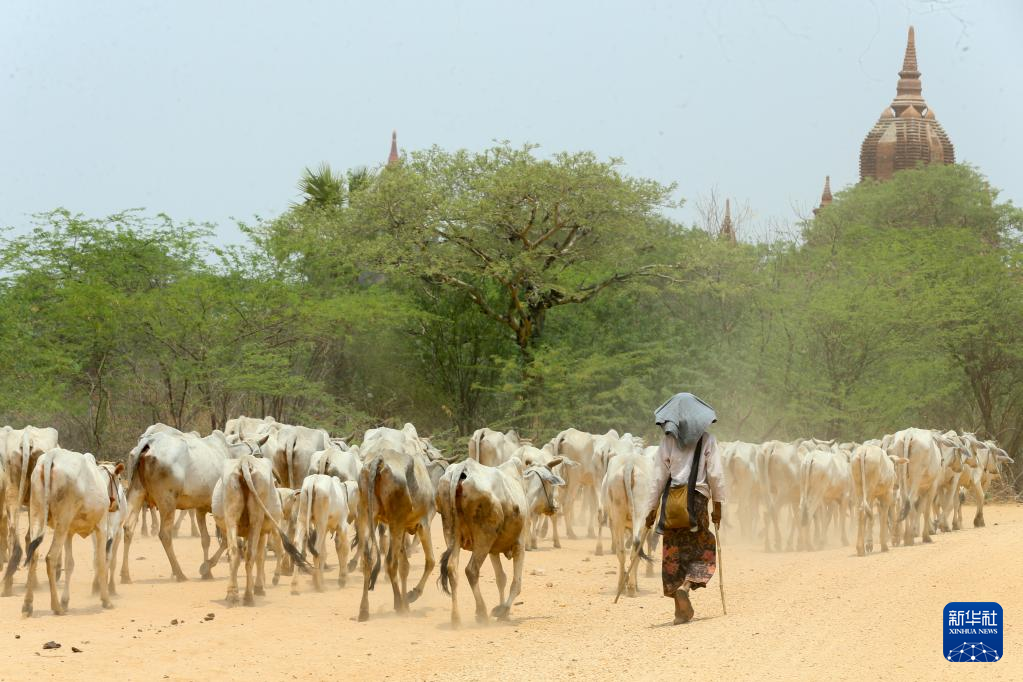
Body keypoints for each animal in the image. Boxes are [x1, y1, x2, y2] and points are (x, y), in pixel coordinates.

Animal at [5, 449, 122, 616]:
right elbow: (101, 562)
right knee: (50, 557)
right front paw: (106, 600)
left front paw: (65, 601)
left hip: (38, 515)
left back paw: (28, 604)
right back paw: (56, 607)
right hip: (62, 522)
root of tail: (50, 457)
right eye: (119, 478)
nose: (116, 504)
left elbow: (69, 564)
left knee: (34, 555)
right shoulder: (101, 528)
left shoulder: (69, 532)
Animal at [210, 453, 307, 605]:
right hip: (257, 520)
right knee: (251, 555)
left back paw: (232, 594)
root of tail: (245, 461)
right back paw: (248, 596)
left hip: (231, 515)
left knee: (235, 552)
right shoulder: (263, 532)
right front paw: (259, 587)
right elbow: (260, 556)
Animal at [356, 432, 437, 621]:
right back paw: (399, 605)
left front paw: (406, 601)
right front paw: (412, 595)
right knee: (390, 562)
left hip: (368, 517)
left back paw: (364, 610)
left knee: (368, 560)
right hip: (395, 523)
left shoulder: (402, 527)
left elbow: (405, 566)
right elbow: (430, 561)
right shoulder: (424, 524)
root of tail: (379, 461)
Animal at [436, 457, 530, 626]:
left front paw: (503, 612)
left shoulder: (493, 551)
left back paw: (456, 619)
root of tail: (461, 469)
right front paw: (502, 611)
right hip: (484, 536)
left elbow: (501, 579)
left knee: (452, 569)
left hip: (451, 533)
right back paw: (482, 613)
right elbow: (516, 583)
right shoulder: (520, 544)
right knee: (471, 570)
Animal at [598, 438, 654, 598]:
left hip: (617, 517)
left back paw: (622, 586)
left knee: (621, 551)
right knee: (635, 549)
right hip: (640, 516)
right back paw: (631, 588)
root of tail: (630, 463)